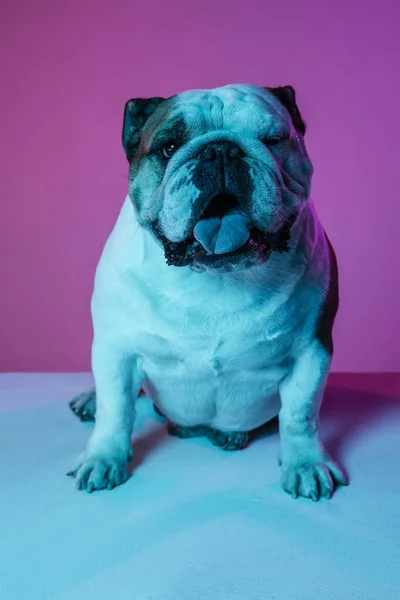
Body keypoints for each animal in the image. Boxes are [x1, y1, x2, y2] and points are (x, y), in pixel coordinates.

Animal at [68, 82, 346, 500]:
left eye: (273, 140)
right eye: (168, 147)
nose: (221, 149)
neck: (216, 277)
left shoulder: (311, 351)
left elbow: (301, 413)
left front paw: (305, 463)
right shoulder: (116, 349)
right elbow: (116, 410)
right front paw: (103, 457)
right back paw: (90, 399)